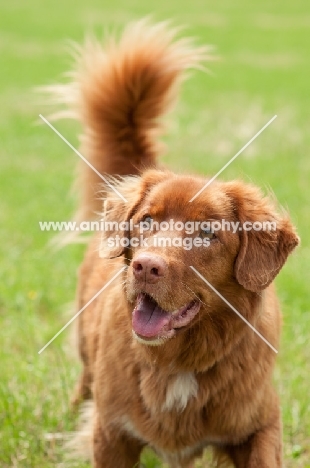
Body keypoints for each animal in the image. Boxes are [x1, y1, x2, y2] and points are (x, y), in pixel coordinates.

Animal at [50, 20, 298, 466]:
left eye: (207, 233)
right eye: (147, 221)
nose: (145, 267)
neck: (178, 362)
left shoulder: (261, 424)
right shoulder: (111, 433)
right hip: (86, 355)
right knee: (83, 384)